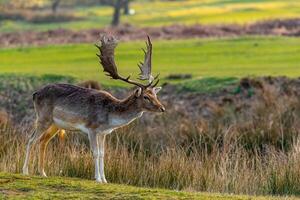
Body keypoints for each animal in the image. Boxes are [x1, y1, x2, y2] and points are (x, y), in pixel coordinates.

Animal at [22, 34, 165, 183]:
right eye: (146, 97)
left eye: (155, 94)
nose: (162, 108)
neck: (109, 117)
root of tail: (35, 94)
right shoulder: (91, 129)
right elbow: (95, 153)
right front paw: (97, 178)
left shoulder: (103, 133)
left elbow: (102, 154)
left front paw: (105, 180)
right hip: (43, 118)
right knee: (30, 139)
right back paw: (25, 171)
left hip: (55, 124)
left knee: (42, 141)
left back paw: (43, 173)